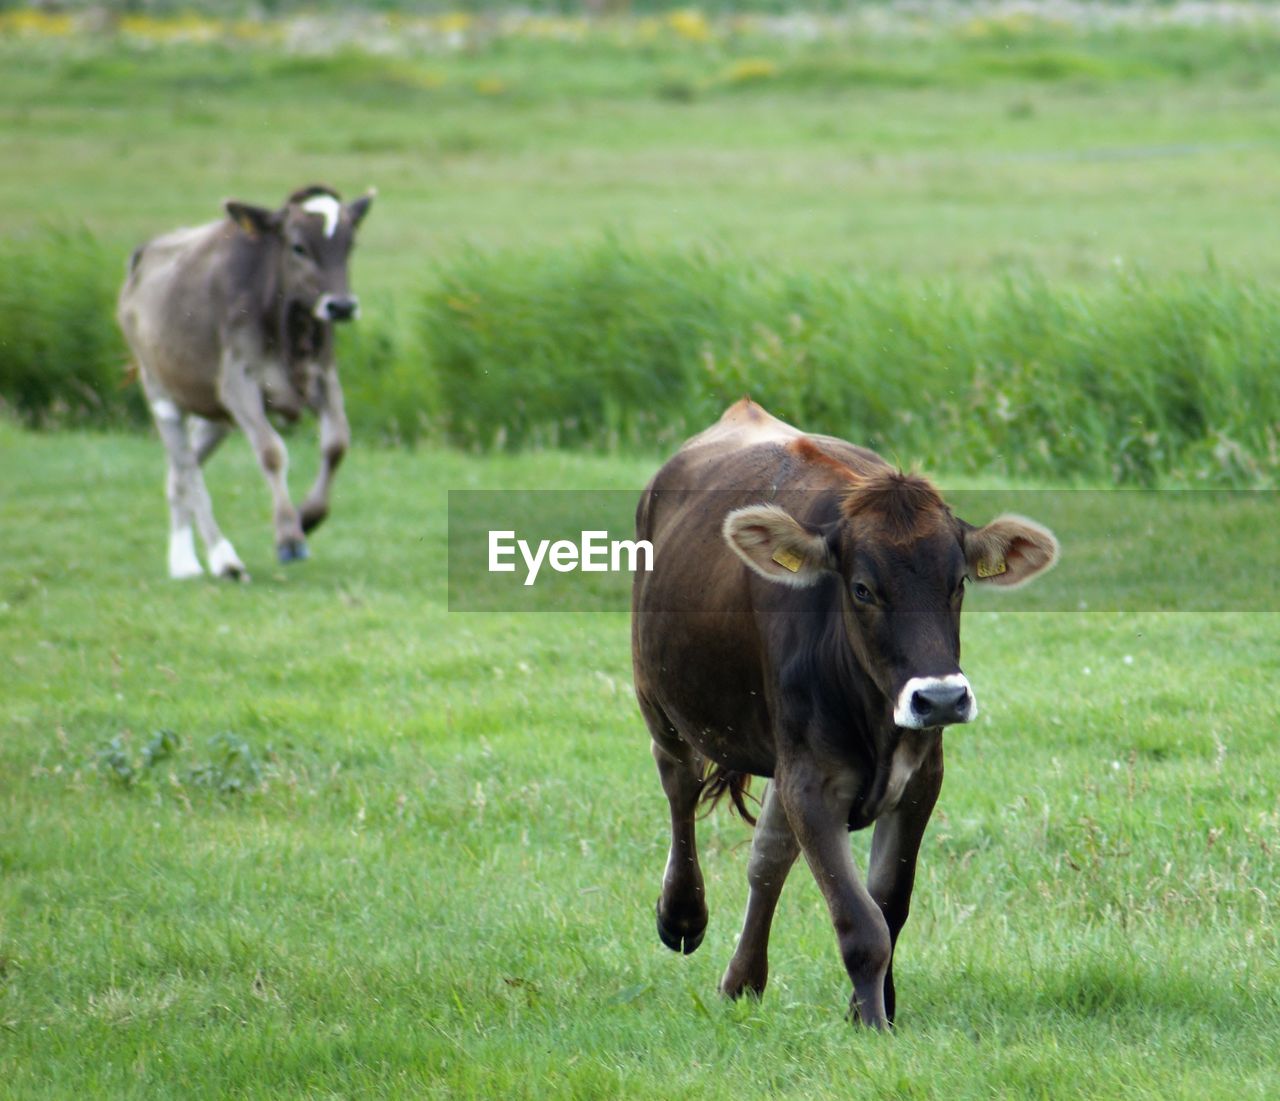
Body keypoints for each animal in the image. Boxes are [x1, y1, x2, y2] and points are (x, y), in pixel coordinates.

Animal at [115, 183, 373, 576]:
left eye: (350, 244)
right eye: (298, 246)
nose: (341, 306)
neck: (288, 327)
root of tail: (145, 254)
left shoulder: (324, 378)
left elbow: (337, 443)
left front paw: (308, 517)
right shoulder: (238, 384)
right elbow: (271, 452)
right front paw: (289, 538)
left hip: (215, 414)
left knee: (178, 475)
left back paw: (183, 561)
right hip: (161, 391)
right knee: (186, 468)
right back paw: (221, 559)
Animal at [632, 399, 1059, 1029]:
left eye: (958, 583)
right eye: (861, 589)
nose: (939, 698)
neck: (874, 720)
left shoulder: (918, 779)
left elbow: (887, 907)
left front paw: (874, 1008)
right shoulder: (812, 781)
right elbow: (860, 924)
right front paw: (875, 1025)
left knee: (768, 856)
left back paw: (743, 981)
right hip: (658, 695)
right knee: (678, 783)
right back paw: (682, 913)